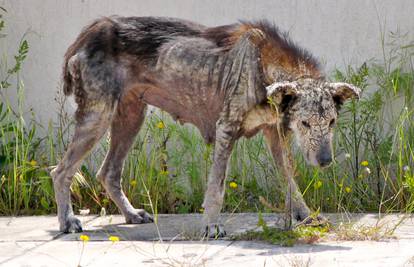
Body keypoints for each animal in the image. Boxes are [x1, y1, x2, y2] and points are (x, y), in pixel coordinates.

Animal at [51, 16, 360, 238]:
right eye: (305, 123)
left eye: (331, 122)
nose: (325, 161)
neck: (262, 66)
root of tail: (90, 33)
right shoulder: (227, 129)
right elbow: (217, 186)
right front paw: (211, 226)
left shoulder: (276, 135)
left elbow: (290, 181)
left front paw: (306, 215)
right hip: (98, 117)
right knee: (61, 171)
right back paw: (67, 221)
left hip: (130, 118)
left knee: (108, 173)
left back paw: (131, 215)